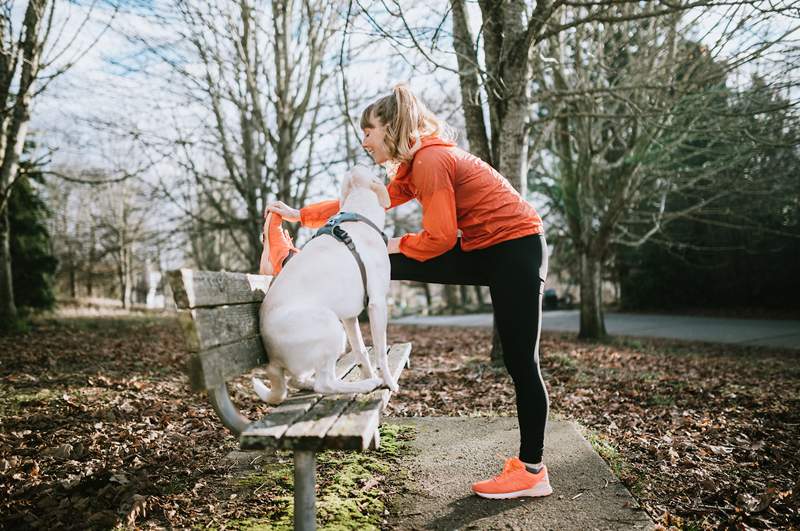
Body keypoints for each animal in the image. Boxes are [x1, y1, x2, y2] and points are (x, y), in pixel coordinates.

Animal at [253, 164, 396, 406]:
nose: (377, 163)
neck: (358, 214)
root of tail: (273, 360)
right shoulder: (377, 304)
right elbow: (380, 353)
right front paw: (387, 382)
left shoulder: (350, 317)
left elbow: (361, 350)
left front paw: (369, 374)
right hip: (330, 325)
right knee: (325, 383)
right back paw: (363, 385)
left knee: (298, 380)